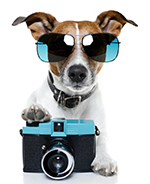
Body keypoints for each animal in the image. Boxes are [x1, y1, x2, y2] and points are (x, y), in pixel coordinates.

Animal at [12, 10, 137, 177]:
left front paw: (104, 159)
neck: (72, 101)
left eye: (94, 45)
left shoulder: (101, 129)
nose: (77, 72)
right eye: (60, 44)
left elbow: (102, 141)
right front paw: (37, 112)